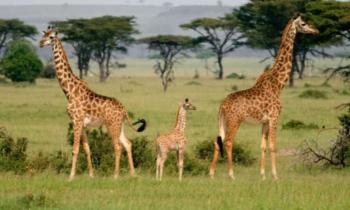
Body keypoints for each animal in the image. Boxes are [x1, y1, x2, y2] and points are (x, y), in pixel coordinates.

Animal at [39, 26, 146, 180]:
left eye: (51, 37)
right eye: (44, 35)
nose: (40, 43)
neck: (69, 91)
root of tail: (124, 109)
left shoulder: (76, 121)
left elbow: (75, 149)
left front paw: (71, 176)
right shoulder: (82, 124)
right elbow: (87, 149)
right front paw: (91, 175)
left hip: (111, 125)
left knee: (118, 146)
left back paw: (115, 175)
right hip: (119, 125)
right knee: (128, 144)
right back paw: (133, 174)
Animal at [209, 16, 318, 180]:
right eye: (303, 24)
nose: (316, 30)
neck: (278, 85)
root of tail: (222, 105)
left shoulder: (265, 122)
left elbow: (263, 146)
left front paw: (262, 175)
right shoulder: (274, 118)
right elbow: (273, 146)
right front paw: (275, 176)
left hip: (223, 122)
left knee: (218, 141)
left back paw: (211, 173)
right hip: (235, 121)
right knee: (228, 142)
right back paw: (231, 175)